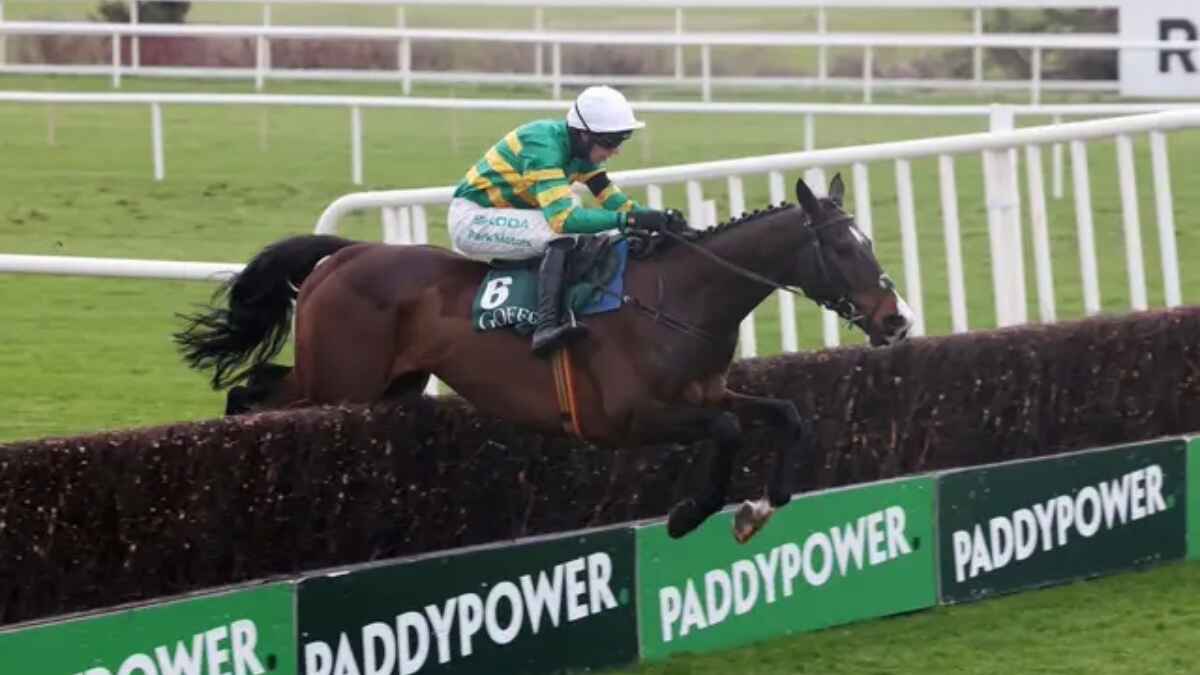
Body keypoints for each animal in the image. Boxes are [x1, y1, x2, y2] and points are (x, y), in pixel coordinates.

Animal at [175, 174, 915, 543]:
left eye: (868, 241)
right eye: (842, 248)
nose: (896, 318)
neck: (680, 298)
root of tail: (344, 253)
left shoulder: (705, 394)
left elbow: (787, 412)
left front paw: (763, 505)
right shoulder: (631, 417)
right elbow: (731, 431)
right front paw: (689, 514)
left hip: (387, 385)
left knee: (254, 393)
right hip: (340, 382)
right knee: (251, 400)